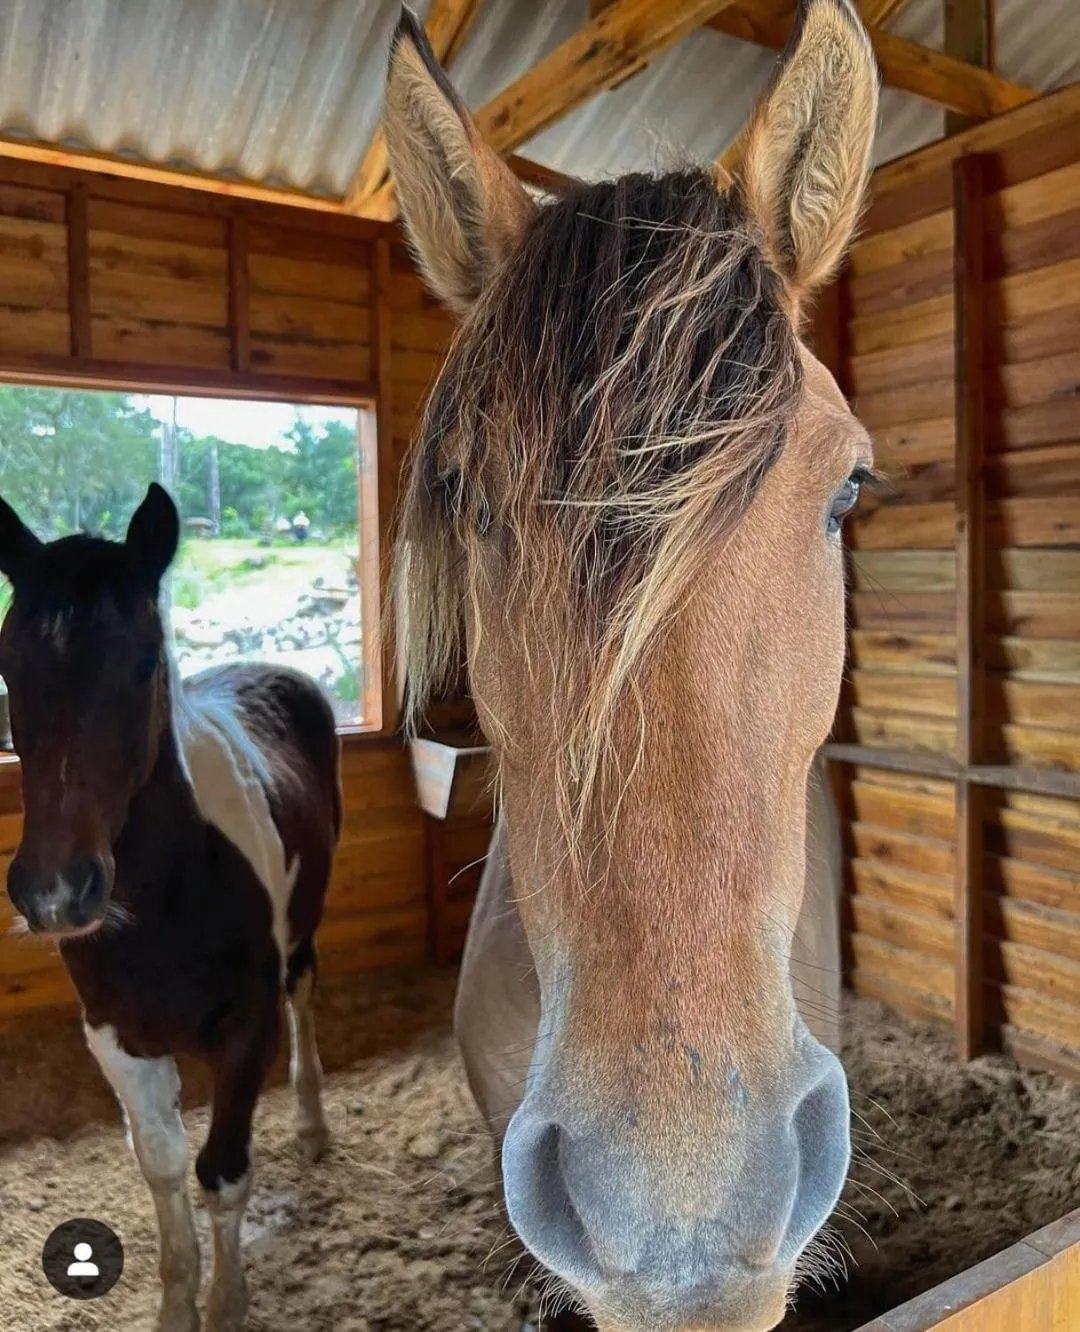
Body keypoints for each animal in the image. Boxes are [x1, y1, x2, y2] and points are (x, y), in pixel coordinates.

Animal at [0, 483, 341, 1332]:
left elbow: (222, 1169)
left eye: (146, 661)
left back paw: (313, 1124)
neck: (169, 902)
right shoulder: (116, 1039)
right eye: (7, 665)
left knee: (304, 998)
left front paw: (227, 1302)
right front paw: (179, 1301)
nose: (56, 890)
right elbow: (160, 1166)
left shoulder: (245, 1033)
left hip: (302, 937)